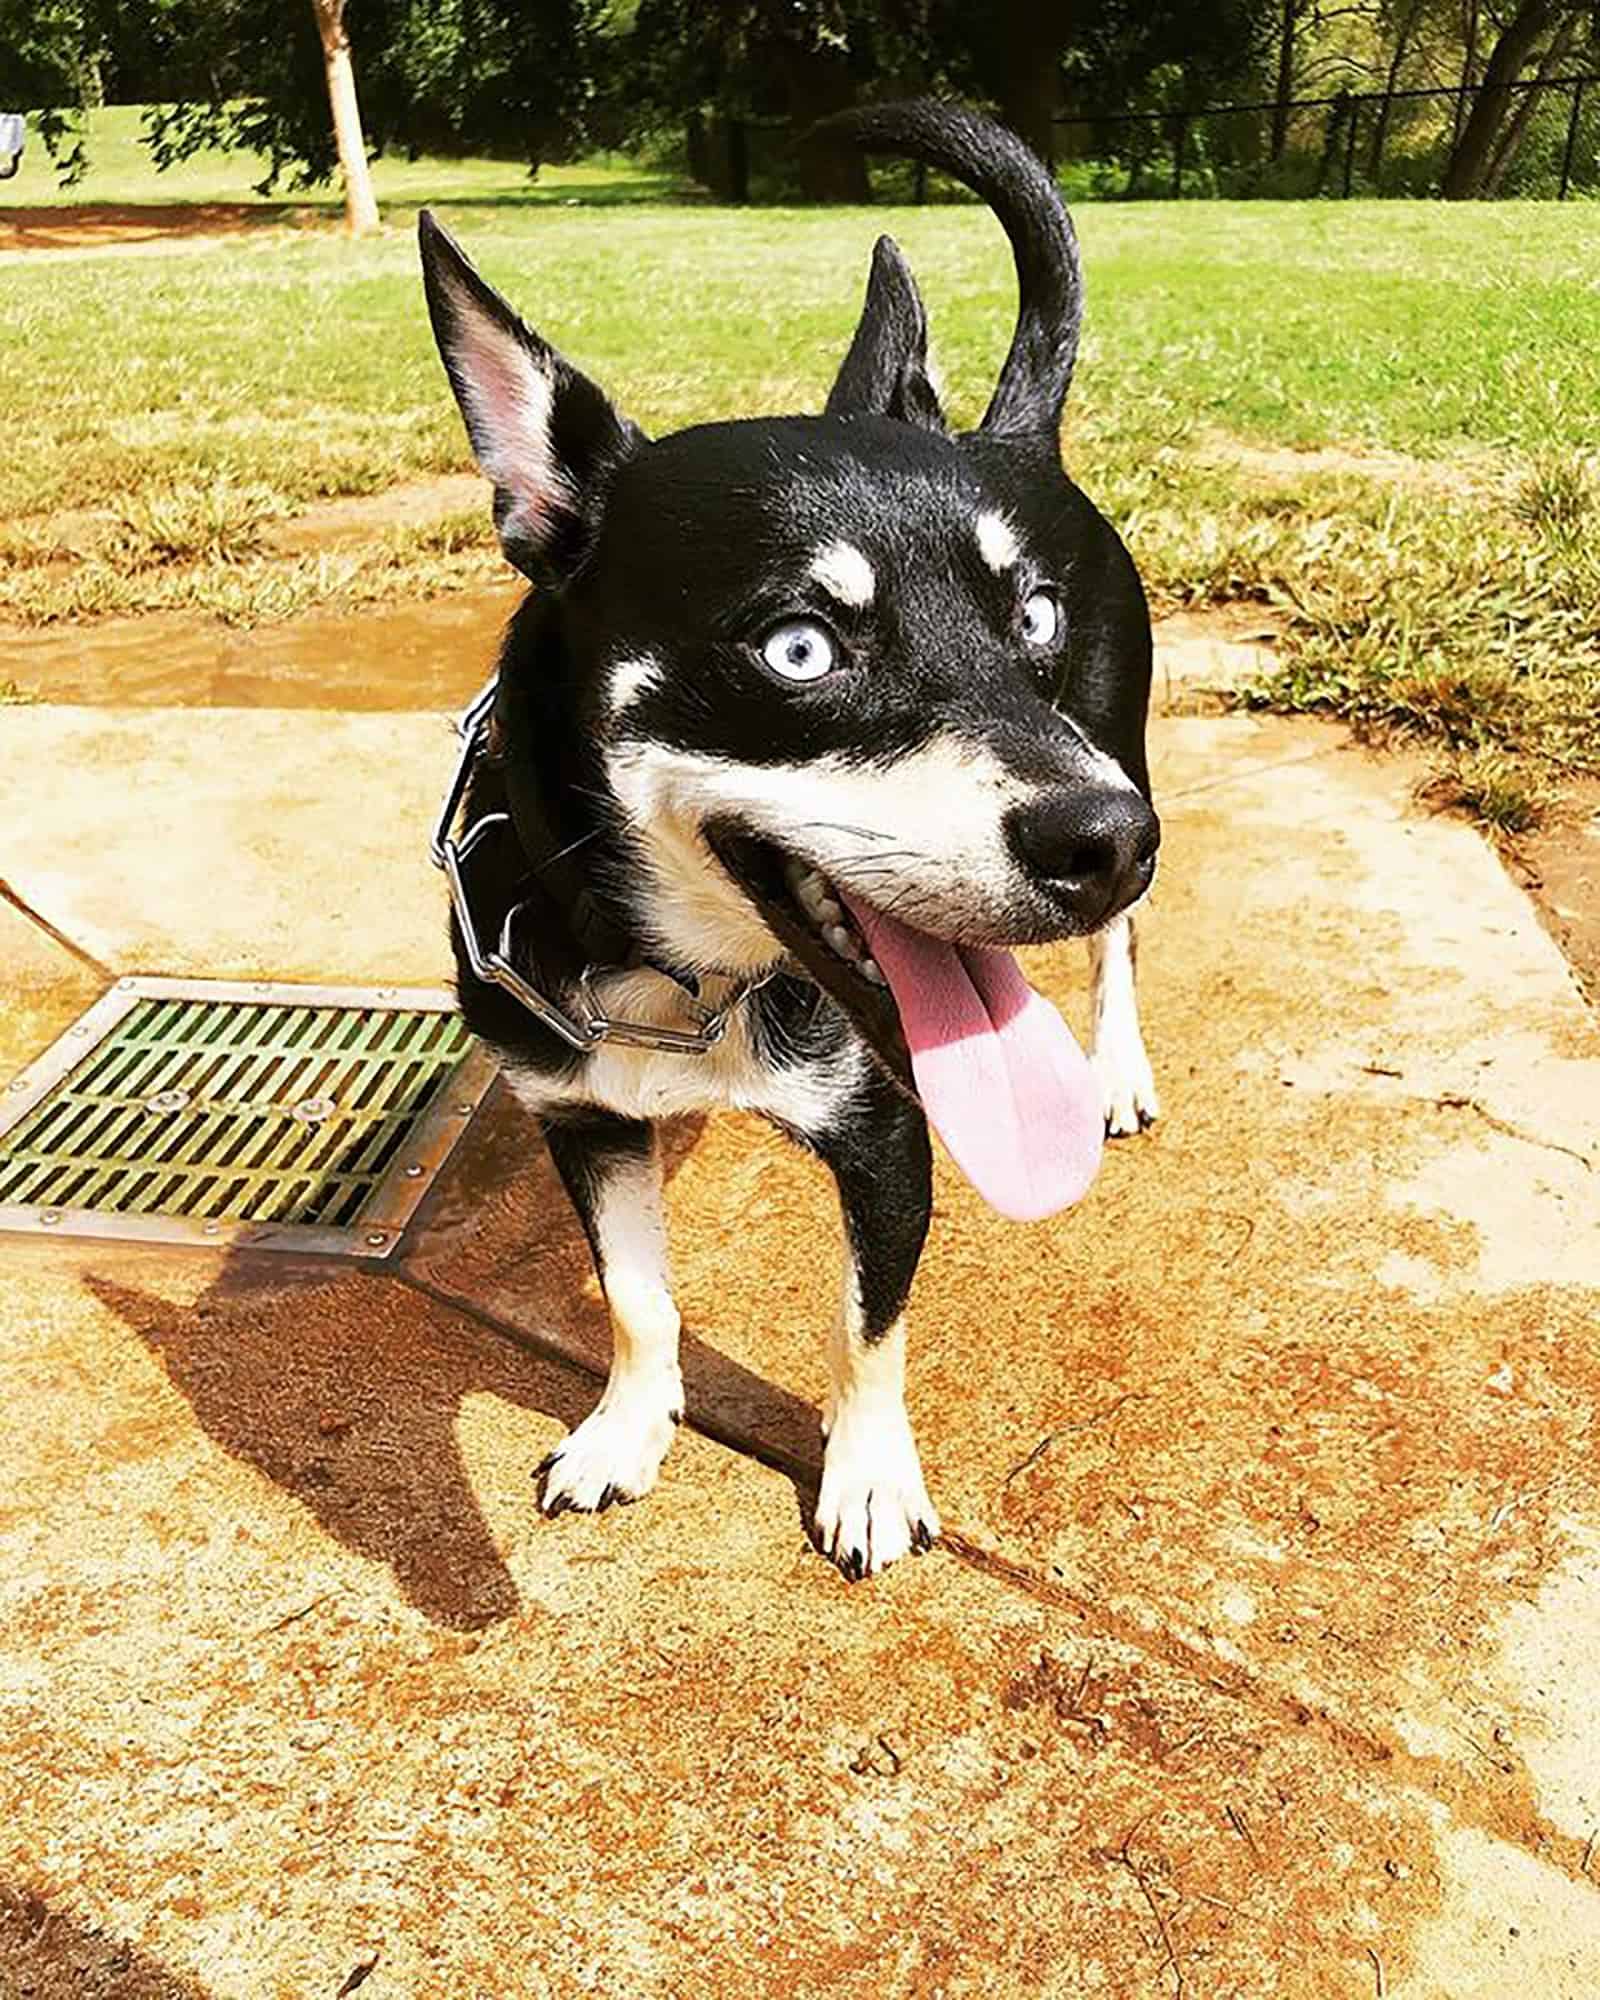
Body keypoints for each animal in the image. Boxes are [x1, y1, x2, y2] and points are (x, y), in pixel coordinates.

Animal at [418, 101, 1160, 1576]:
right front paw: (627, 1425)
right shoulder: (580, 1115)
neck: (683, 975)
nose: (1111, 838)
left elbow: (867, 1327)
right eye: (799, 648)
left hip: (1120, 746)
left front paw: (866, 1476)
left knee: (1116, 947)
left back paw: (1112, 1066)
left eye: (1032, 617)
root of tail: (1014, 437)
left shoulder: (890, 1139)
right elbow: (635, 1297)